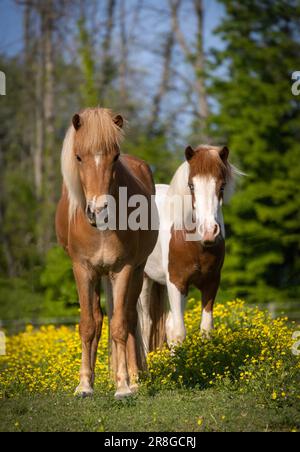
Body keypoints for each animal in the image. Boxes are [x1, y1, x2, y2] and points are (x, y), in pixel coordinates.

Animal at [56, 107, 159, 398]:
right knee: (99, 319)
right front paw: (84, 384)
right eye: (78, 157)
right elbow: (88, 325)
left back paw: (134, 379)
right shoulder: (82, 270)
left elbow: (120, 326)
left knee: (130, 319)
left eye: (115, 157)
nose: (99, 210)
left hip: (136, 271)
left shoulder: (123, 269)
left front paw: (123, 385)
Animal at [137, 145, 241, 360]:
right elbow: (178, 331)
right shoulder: (176, 282)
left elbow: (206, 329)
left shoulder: (211, 282)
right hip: (143, 280)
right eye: (191, 186)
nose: (209, 231)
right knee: (145, 323)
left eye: (222, 186)